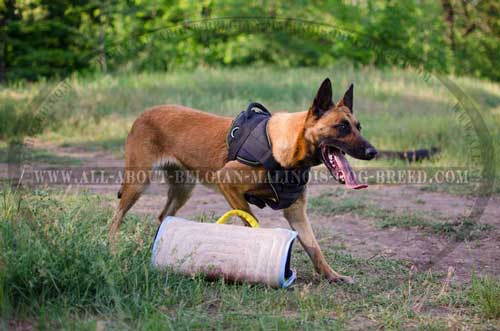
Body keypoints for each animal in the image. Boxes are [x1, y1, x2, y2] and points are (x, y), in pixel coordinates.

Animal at [109, 78, 376, 282]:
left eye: (358, 127)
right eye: (342, 127)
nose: (373, 152)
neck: (287, 150)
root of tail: (144, 113)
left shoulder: (296, 211)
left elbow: (314, 248)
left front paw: (332, 275)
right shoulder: (227, 182)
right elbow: (251, 223)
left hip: (184, 188)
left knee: (163, 216)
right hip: (139, 183)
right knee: (117, 216)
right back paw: (111, 247)